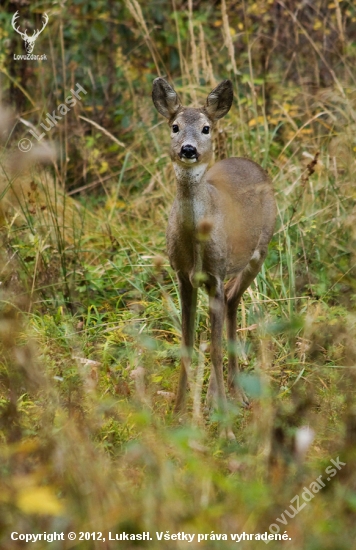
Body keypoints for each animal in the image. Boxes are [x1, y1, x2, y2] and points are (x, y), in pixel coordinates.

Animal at [152, 78, 276, 418]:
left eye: (206, 128)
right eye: (175, 126)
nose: (188, 149)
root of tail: (248, 162)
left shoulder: (216, 274)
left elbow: (216, 346)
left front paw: (224, 418)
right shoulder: (183, 276)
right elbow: (187, 343)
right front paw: (179, 410)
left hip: (259, 251)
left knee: (232, 304)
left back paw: (235, 395)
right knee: (230, 305)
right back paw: (217, 397)